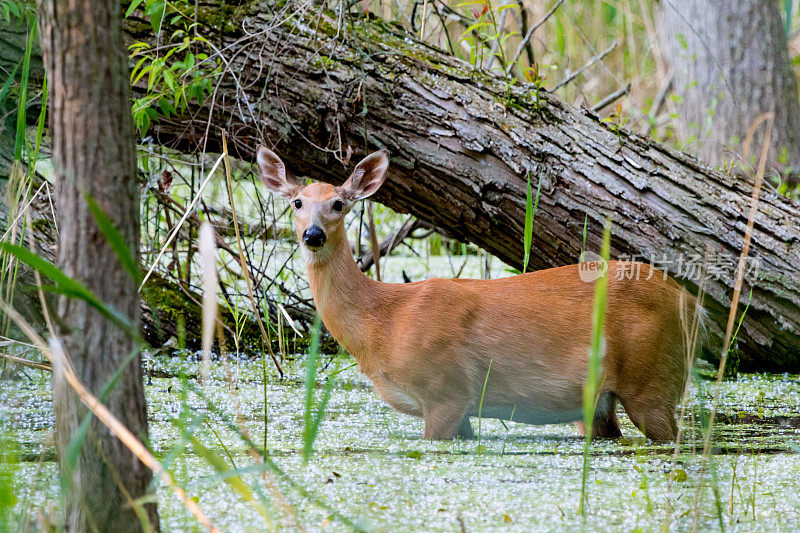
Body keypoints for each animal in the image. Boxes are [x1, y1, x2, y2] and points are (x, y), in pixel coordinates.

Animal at [256, 145, 700, 440]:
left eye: (338, 204)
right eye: (296, 202)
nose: (313, 234)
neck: (383, 322)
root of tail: (690, 302)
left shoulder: (444, 389)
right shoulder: (461, 408)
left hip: (652, 380)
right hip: (600, 402)